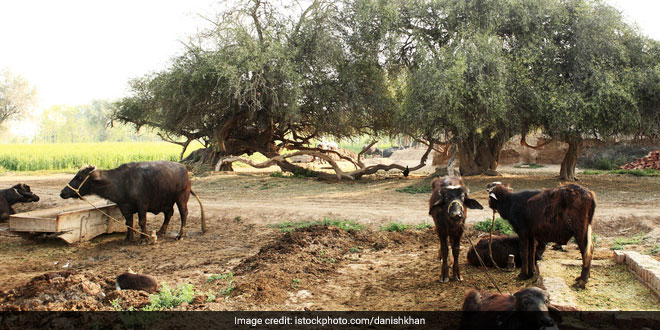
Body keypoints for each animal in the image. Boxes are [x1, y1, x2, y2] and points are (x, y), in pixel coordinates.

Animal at [62, 161, 208, 244]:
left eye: (79, 177)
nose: (63, 192)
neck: (121, 182)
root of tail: (185, 169)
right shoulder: (124, 207)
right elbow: (129, 223)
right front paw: (128, 238)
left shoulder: (142, 205)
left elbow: (141, 221)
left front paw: (143, 239)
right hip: (166, 201)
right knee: (169, 213)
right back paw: (161, 231)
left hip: (181, 197)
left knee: (184, 213)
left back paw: (180, 234)